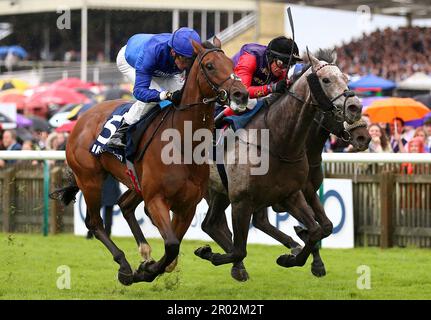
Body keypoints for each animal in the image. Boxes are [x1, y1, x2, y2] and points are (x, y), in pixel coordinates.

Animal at [52, 38, 250, 284]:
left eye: (231, 64)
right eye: (210, 66)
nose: (241, 94)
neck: (183, 142)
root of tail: (82, 118)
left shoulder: (187, 206)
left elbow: (173, 248)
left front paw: (150, 266)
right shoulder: (156, 199)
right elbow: (172, 245)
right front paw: (145, 271)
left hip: (134, 182)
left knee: (124, 205)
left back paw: (144, 252)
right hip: (90, 179)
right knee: (95, 223)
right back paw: (124, 267)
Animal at [193, 49, 364, 280]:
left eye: (346, 78)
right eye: (326, 80)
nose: (356, 108)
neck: (279, 143)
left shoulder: (291, 194)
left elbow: (320, 229)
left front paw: (294, 258)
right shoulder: (243, 200)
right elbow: (240, 248)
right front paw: (211, 254)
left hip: (220, 191)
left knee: (211, 225)